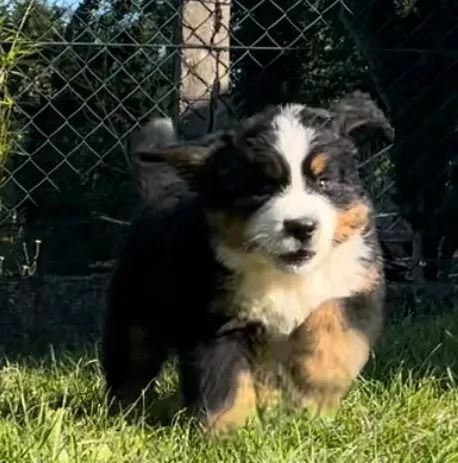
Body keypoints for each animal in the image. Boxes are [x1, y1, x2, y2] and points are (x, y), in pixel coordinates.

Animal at [100, 91, 394, 436]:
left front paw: (315, 386)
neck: (285, 277)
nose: (301, 226)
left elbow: (333, 331)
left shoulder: (356, 286)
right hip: (136, 314)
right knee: (131, 365)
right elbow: (225, 381)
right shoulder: (215, 320)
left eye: (323, 181)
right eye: (263, 187)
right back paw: (123, 414)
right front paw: (230, 432)